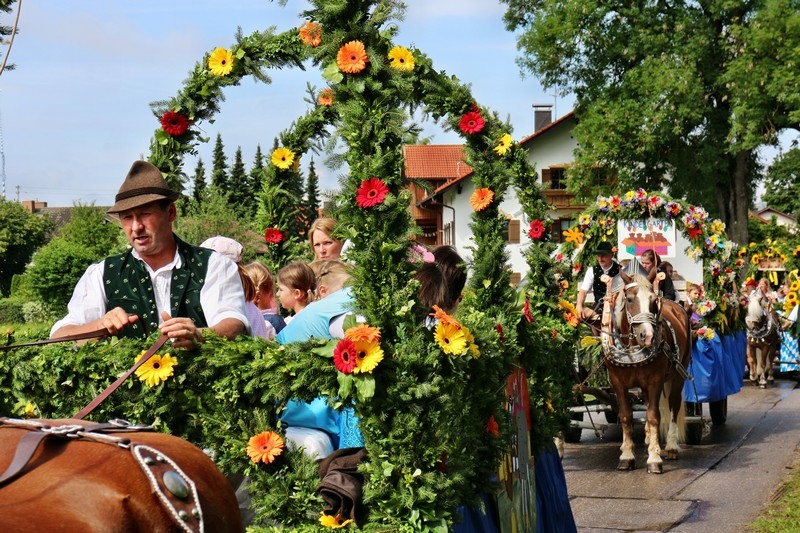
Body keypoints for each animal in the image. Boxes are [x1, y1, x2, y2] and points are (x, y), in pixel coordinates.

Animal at [604, 274, 692, 474]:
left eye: (653, 300)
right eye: (629, 299)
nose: (649, 336)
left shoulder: (655, 381)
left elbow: (653, 416)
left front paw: (654, 459)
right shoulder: (617, 382)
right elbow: (626, 415)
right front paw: (627, 456)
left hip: (678, 375)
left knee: (674, 404)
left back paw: (670, 447)